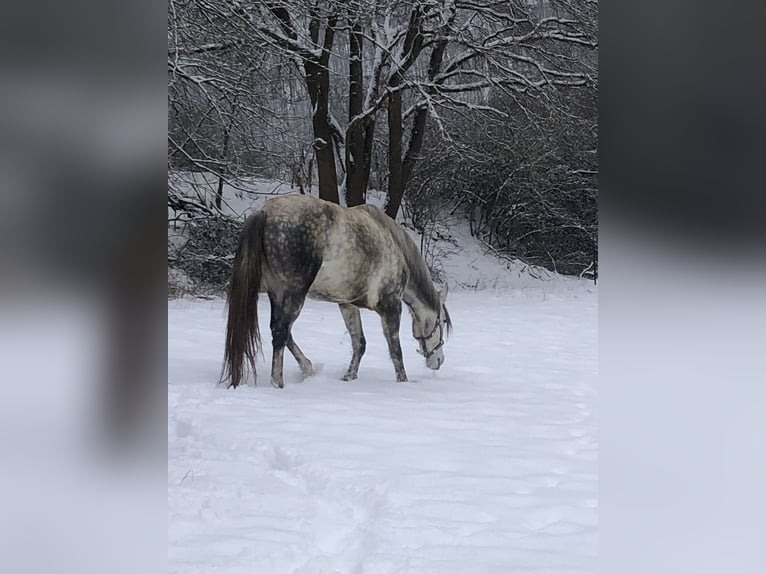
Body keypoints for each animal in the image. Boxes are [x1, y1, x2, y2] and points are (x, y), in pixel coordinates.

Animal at [221, 194, 451, 389]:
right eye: (442, 321)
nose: (439, 360)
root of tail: (265, 211)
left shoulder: (347, 304)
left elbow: (359, 343)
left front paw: (349, 377)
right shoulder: (391, 306)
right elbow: (396, 351)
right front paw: (403, 383)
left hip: (276, 294)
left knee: (282, 332)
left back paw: (307, 368)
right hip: (294, 294)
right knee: (281, 333)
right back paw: (278, 382)